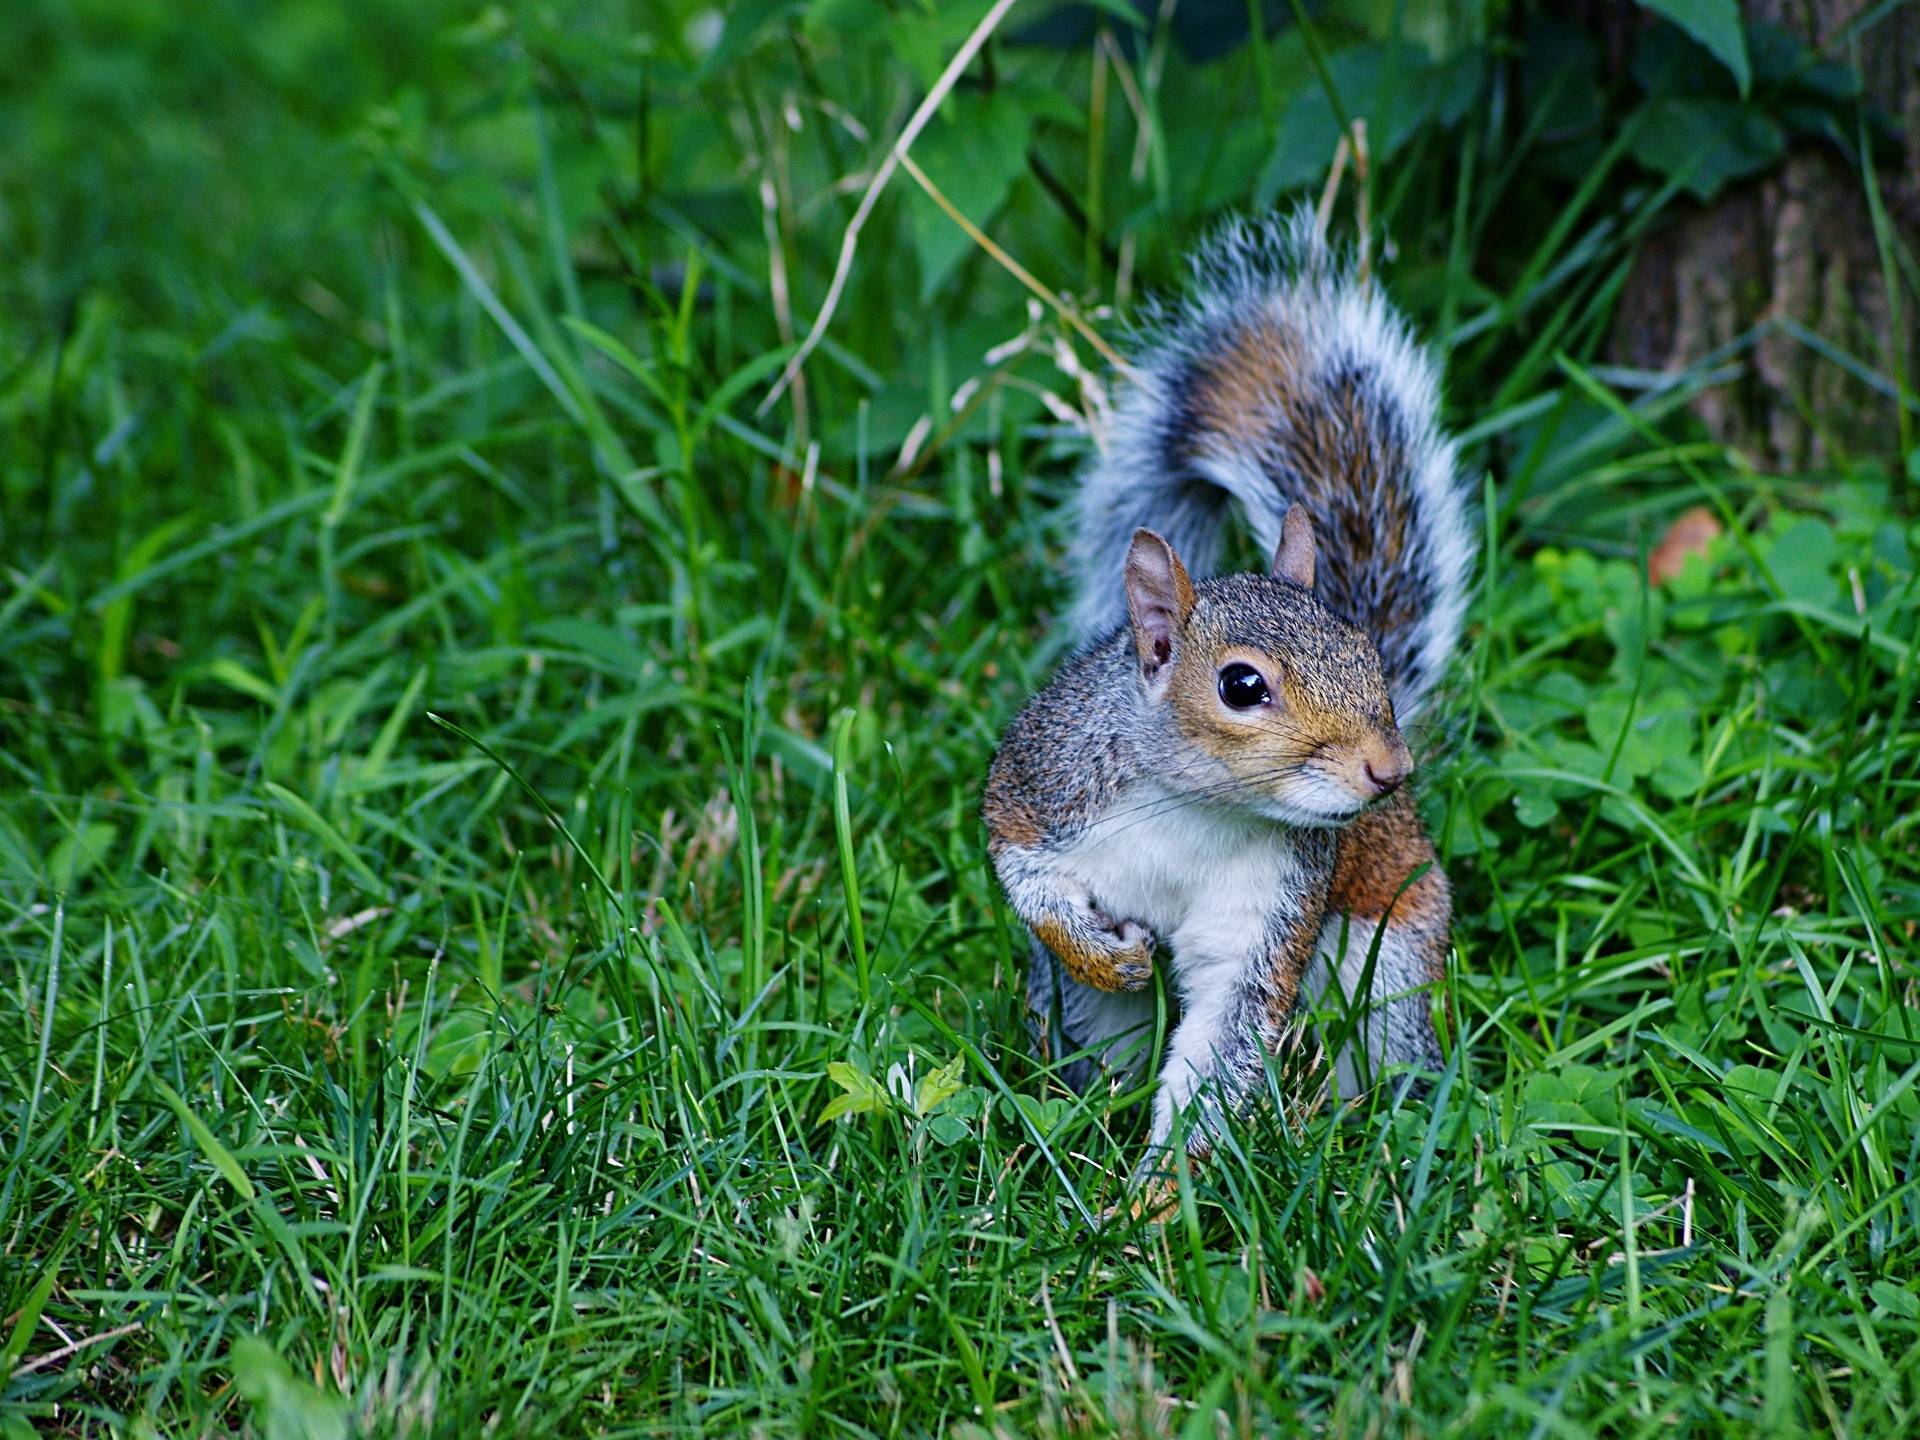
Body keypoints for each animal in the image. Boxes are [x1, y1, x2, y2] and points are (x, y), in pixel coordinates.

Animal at [983, 210, 1475, 1161]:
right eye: (1242, 686)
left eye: (1365, 653)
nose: (1388, 770)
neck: (1195, 807)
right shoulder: (1041, 786)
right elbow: (1024, 876)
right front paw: (1106, 952)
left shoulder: (1269, 910)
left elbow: (1224, 1041)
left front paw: (1158, 1197)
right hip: (1086, 1014)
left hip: (1389, 954)